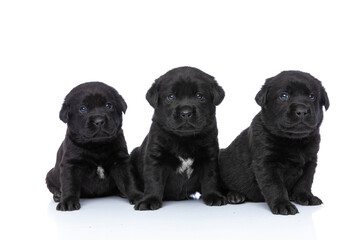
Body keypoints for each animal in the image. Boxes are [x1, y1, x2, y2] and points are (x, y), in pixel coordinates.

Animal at [47, 81, 142, 211]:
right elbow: (69, 183)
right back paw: (58, 195)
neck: (97, 146)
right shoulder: (71, 164)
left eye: (108, 105)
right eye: (83, 109)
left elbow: (129, 180)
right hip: (50, 175)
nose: (99, 121)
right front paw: (68, 201)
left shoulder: (121, 161)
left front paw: (137, 196)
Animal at [131, 66, 226, 210]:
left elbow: (210, 178)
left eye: (199, 96)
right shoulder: (156, 156)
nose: (186, 113)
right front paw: (149, 200)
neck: (184, 139)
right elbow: (154, 180)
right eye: (171, 97)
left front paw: (214, 196)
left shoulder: (209, 156)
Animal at [218, 71, 330, 216]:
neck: (294, 141)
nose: (302, 111)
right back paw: (234, 195)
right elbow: (275, 186)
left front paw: (305, 196)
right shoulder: (267, 163)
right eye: (284, 96)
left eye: (312, 96)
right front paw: (283, 204)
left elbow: (305, 181)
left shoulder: (310, 161)